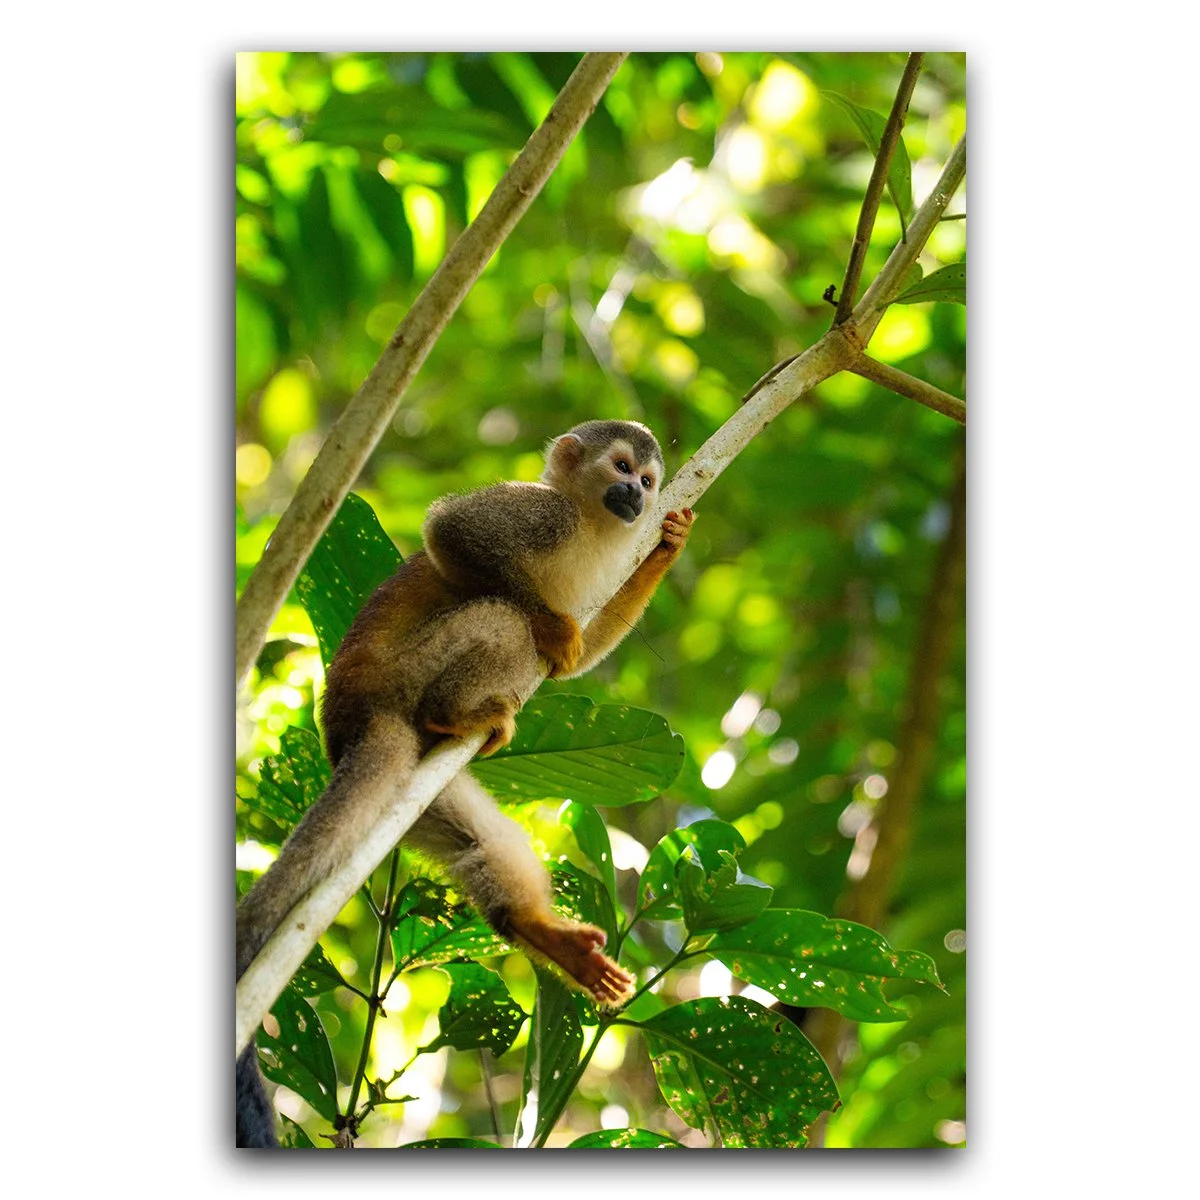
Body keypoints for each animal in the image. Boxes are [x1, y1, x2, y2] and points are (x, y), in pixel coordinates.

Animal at [236, 419, 694, 1147]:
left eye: (649, 482)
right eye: (621, 468)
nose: (636, 497)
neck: (593, 528)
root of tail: (350, 724)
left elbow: (579, 658)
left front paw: (667, 548)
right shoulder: (543, 514)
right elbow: (453, 532)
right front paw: (552, 626)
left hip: (418, 793)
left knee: (474, 836)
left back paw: (536, 929)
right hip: (405, 677)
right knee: (500, 614)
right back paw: (454, 711)